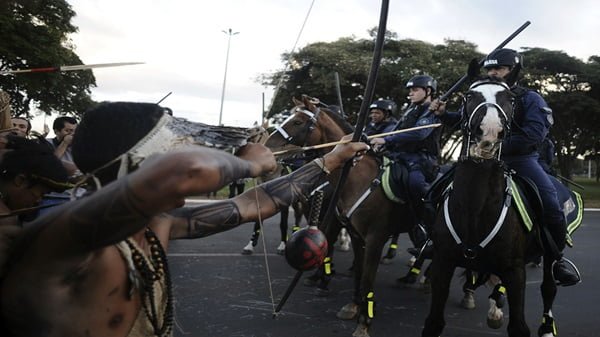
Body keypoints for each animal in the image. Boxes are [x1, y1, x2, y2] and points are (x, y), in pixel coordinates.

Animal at [264, 95, 420, 336]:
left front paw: (364, 322)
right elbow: (359, 273)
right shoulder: (354, 234)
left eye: (298, 122)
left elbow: (367, 279)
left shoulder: (374, 238)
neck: (358, 179)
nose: (267, 147)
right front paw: (353, 305)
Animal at [422, 77, 556, 336]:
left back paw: (545, 326)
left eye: (510, 99)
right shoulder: (442, 262)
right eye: (469, 96)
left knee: (548, 288)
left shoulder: (516, 271)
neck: (475, 208)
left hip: (549, 258)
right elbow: (433, 322)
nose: (490, 130)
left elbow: (519, 326)